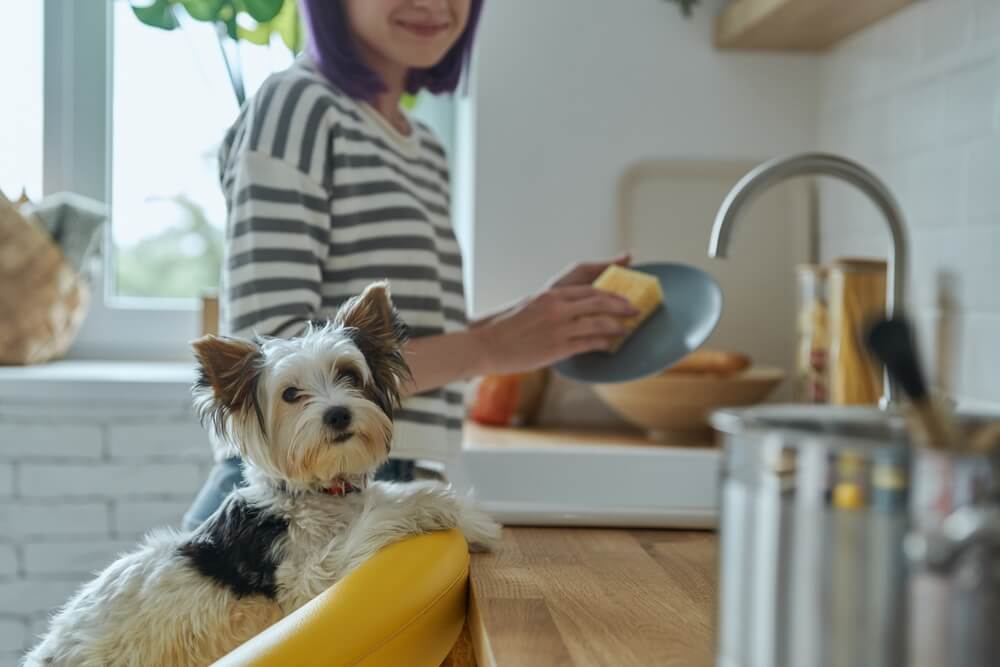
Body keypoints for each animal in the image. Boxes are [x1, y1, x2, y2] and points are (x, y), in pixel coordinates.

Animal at [25, 284, 500, 667]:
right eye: (290, 394)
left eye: (348, 374)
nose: (338, 414)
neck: (317, 492)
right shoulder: (306, 581)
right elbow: (368, 528)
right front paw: (429, 505)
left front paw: (474, 521)